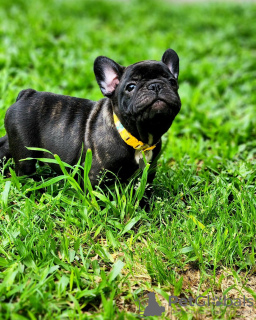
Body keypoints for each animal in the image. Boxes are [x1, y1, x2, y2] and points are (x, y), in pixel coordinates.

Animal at [0, 49, 181, 189]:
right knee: (25, 170)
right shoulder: (96, 176)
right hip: (25, 152)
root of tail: (27, 94)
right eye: (131, 87)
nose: (155, 85)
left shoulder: (148, 173)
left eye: (172, 82)